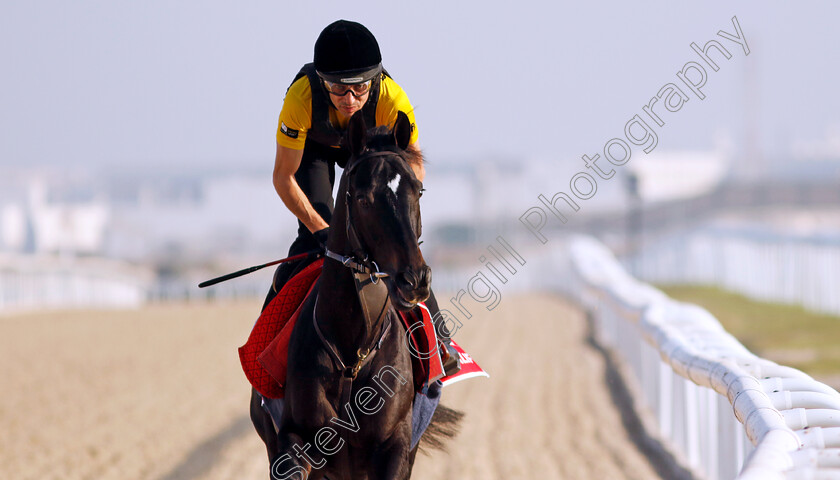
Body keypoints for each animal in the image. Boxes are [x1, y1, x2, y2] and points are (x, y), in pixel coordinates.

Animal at [251, 110, 456, 478]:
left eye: (418, 191)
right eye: (363, 198)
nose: (414, 279)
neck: (352, 353)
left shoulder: (395, 447)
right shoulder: (293, 442)